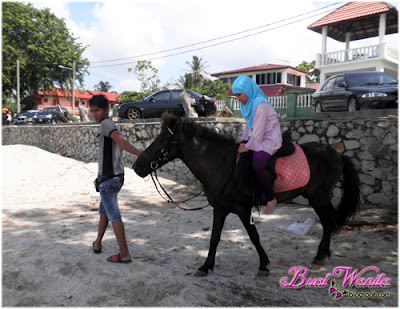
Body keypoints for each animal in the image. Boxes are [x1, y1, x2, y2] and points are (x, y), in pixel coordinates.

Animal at [133, 113, 360, 276]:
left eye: (163, 140)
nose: (137, 166)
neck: (222, 165)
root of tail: (336, 153)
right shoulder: (220, 209)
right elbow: (214, 238)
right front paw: (206, 266)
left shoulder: (243, 210)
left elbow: (254, 236)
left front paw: (263, 265)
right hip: (319, 198)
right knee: (329, 222)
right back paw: (324, 253)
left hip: (319, 198)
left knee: (329, 222)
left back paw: (321, 255)